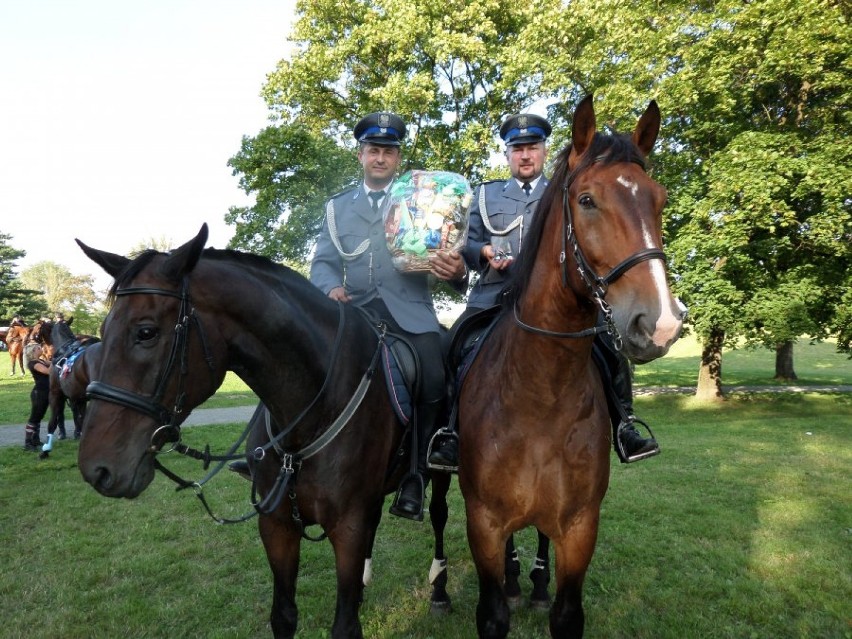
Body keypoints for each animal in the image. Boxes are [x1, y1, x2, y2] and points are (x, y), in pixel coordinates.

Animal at [75, 222, 424, 636]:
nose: (96, 469)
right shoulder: (276, 526)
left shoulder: (349, 528)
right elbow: (284, 615)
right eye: (103, 329)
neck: (314, 406)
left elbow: (344, 625)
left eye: (145, 332)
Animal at [456, 95, 684, 639]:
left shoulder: (581, 526)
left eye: (659, 200)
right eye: (586, 200)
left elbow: (567, 614)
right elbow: (492, 613)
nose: (661, 322)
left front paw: (541, 590)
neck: (541, 392)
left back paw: (533, 582)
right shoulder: (483, 523)